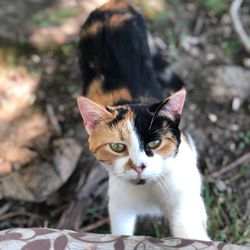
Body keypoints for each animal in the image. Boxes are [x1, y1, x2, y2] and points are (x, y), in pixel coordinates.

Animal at [77, 0, 210, 241]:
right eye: (117, 147)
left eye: (155, 143)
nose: (138, 166)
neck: (147, 189)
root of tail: (113, 4)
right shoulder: (119, 205)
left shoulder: (186, 193)